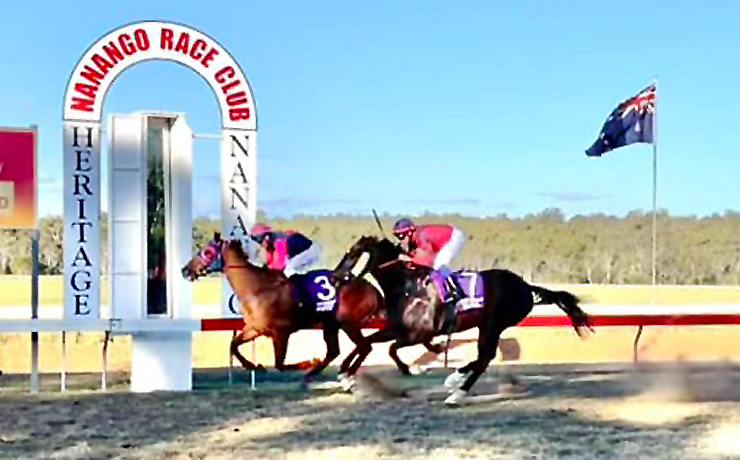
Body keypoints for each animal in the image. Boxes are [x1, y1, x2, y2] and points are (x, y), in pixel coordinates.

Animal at [332, 235, 594, 405]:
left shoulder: (419, 333)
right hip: (488, 325)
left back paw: (456, 390)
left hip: (493, 324)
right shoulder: (396, 329)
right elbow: (367, 344)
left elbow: (391, 349)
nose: (334, 277)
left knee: (485, 357)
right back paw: (455, 382)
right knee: (483, 357)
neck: (406, 287)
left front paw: (412, 367)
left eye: (353, 254)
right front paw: (345, 375)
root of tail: (526, 286)